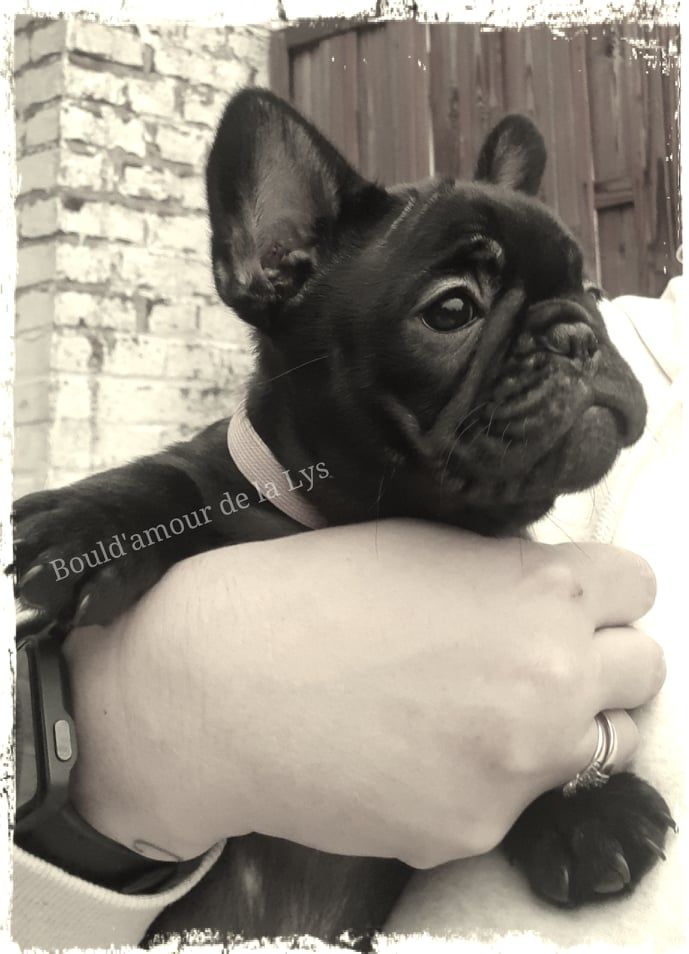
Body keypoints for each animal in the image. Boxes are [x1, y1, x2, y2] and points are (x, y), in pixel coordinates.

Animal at [14, 88, 674, 946]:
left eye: (592, 293)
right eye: (452, 309)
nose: (577, 331)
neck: (361, 512)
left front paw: (581, 808)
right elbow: (176, 476)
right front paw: (84, 527)